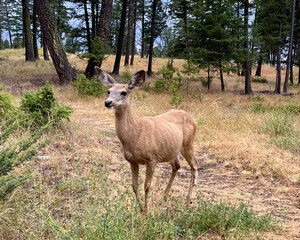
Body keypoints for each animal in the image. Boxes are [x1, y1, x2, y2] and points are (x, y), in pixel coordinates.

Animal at [96, 66, 198, 211]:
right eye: (109, 91)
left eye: (124, 92)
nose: (108, 102)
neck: (134, 134)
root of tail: (193, 119)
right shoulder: (132, 160)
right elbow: (134, 186)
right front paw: (140, 209)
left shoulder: (152, 158)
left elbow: (146, 186)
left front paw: (146, 211)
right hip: (172, 149)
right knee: (177, 166)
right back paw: (164, 198)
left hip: (188, 144)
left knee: (194, 166)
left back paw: (187, 201)